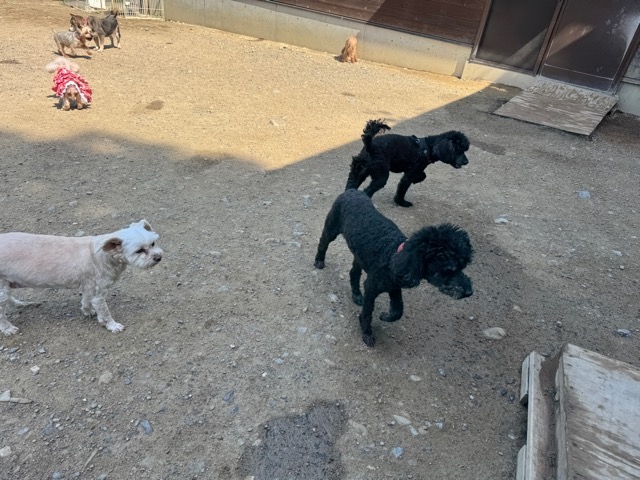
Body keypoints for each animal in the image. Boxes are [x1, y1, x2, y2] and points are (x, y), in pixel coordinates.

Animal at [0, 220, 162, 336]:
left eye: (153, 243)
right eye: (139, 250)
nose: (158, 257)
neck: (104, 255)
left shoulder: (88, 285)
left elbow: (86, 300)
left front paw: (87, 311)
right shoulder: (99, 293)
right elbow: (105, 312)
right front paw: (112, 325)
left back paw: (20, 304)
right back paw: (8, 329)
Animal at [314, 189, 473, 347]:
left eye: (463, 266)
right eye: (449, 269)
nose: (469, 292)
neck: (393, 256)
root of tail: (352, 191)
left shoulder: (394, 287)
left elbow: (398, 310)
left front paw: (386, 316)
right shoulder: (372, 287)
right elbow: (367, 313)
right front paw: (367, 333)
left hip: (359, 256)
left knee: (354, 273)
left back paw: (357, 295)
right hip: (331, 228)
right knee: (323, 243)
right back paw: (319, 261)